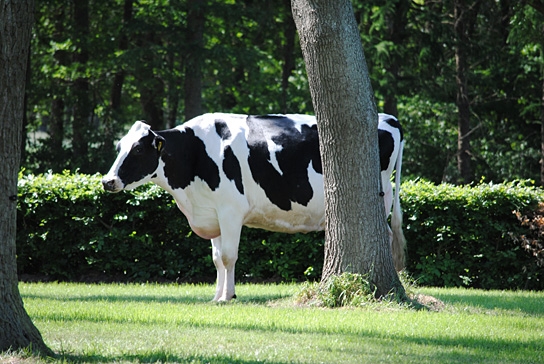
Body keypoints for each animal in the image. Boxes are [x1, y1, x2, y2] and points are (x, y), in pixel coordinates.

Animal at [103, 114, 404, 302]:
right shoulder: (212, 214)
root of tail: (388, 118)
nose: (107, 181)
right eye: (119, 147)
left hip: (383, 197)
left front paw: (227, 297)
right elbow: (216, 259)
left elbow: (228, 257)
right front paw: (217, 295)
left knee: (388, 237)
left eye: (138, 150)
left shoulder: (230, 210)